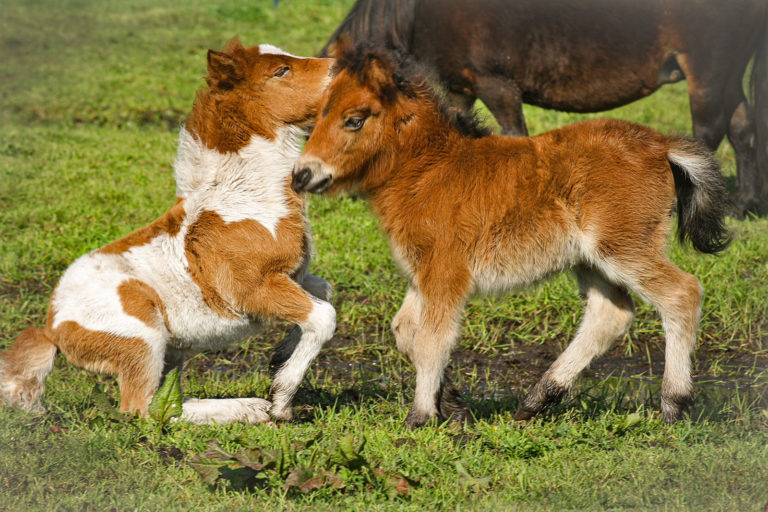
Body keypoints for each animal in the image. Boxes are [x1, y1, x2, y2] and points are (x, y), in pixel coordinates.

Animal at [0, 40, 336, 424]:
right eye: (281, 70)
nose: (338, 67)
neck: (242, 198)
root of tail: (53, 326)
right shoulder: (252, 289)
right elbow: (323, 316)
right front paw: (282, 398)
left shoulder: (293, 276)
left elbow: (324, 292)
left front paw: (280, 357)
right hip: (142, 338)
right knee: (143, 409)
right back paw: (250, 408)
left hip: (166, 352)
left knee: (167, 399)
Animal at [292, 44, 728, 428]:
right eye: (319, 115)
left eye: (354, 119)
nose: (301, 175)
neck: (429, 168)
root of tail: (660, 144)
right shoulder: (424, 274)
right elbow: (406, 333)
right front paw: (453, 405)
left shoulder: (445, 274)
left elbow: (432, 339)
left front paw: (420, 417)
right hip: (591, 259)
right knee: (611, 313)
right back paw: (538, 400)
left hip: (624, 247)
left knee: (682, 293)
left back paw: (673, 405)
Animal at [322, 0, 768, 216]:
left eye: (353, 119)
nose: (319, 180)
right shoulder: (459, 87)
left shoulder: (497, 84)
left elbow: (514, 137)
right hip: (726, 73)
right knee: (742, 130)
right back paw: (744, 204)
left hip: (707, 72)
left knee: (708, 133)